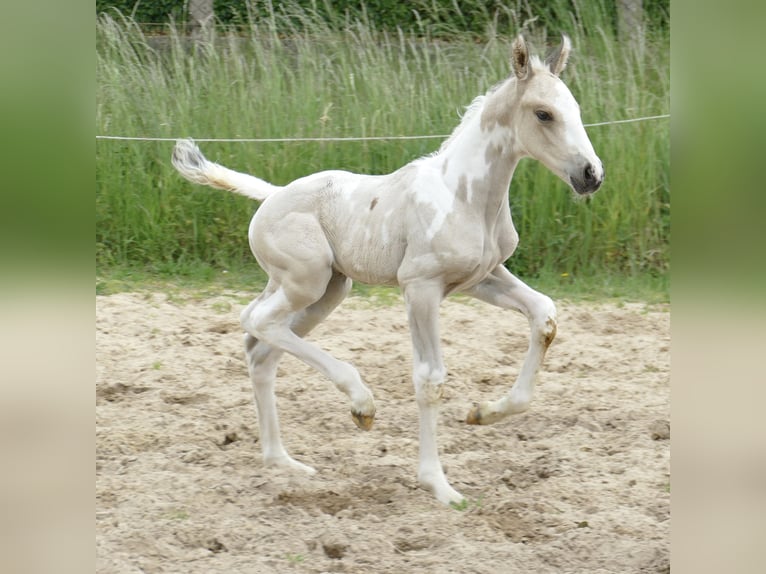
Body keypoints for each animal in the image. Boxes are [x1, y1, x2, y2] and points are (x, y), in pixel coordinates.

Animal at [171, 34, 603, 505]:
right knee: (257, 322)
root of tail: (271, 195)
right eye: (543, 114)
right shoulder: (421, 287)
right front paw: (439, 485)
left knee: (260, 347)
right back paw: (361, 405)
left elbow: (544, 315)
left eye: (576, 108)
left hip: (326, 290)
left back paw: (282, 461)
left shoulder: (481, 278)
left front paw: (482, 413)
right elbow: (430, 379)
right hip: (307, 282)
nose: (591, 175)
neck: (464, 196)